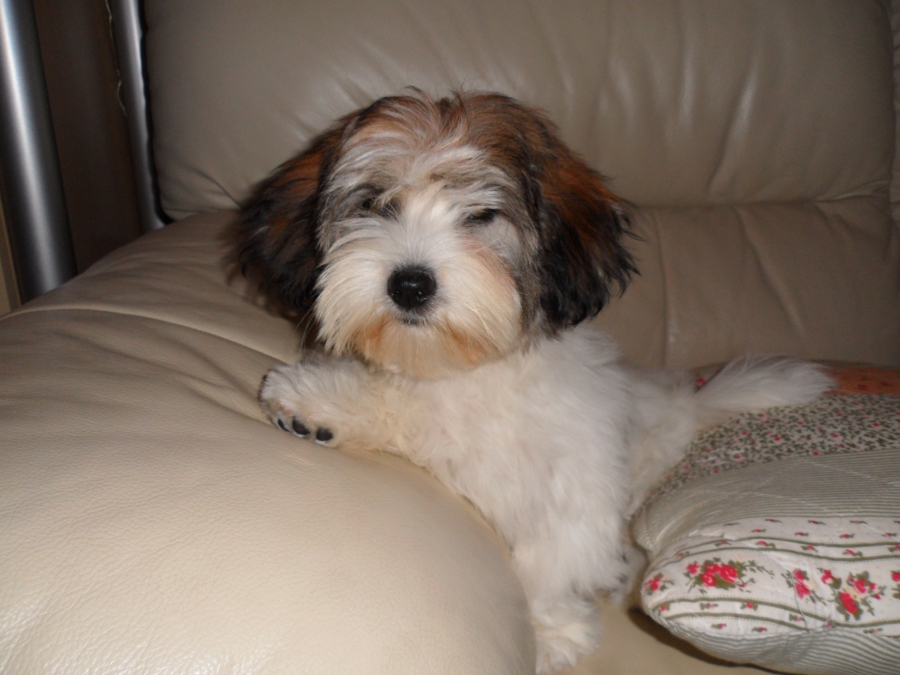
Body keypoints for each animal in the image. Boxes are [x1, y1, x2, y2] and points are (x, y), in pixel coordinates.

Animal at [240, 91, 832, 673]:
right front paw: (315, 403)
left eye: (481, 215)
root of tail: (687, 404)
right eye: (375, 205)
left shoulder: (577, 483)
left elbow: (552, 560)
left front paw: (547, 635)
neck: (466, 374)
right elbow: (397, 402)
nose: (409, 284)